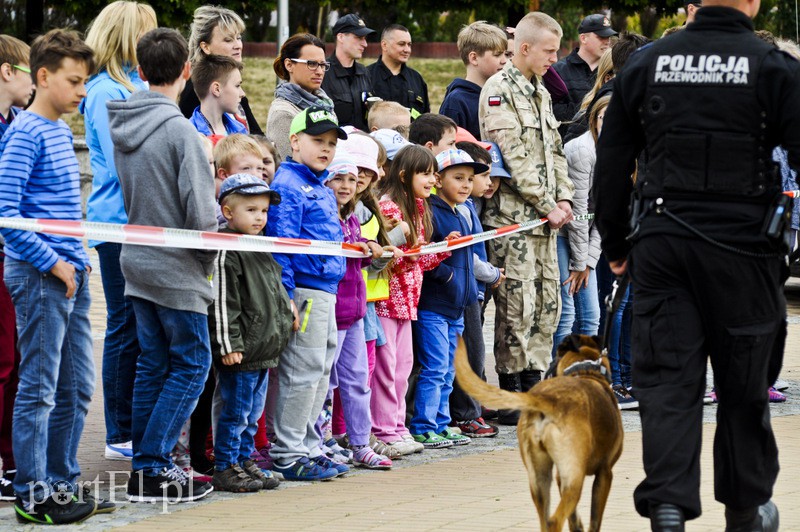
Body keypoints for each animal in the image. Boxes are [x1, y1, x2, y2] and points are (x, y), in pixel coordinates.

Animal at [454, 334, 620, 528]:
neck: (585, 372)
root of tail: (547, 400)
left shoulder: (560, 476)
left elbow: (574, 519)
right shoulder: (605, 473)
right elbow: (594, 520)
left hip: (539, 480)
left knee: (546, 519)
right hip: (574, 479)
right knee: (555, 520)